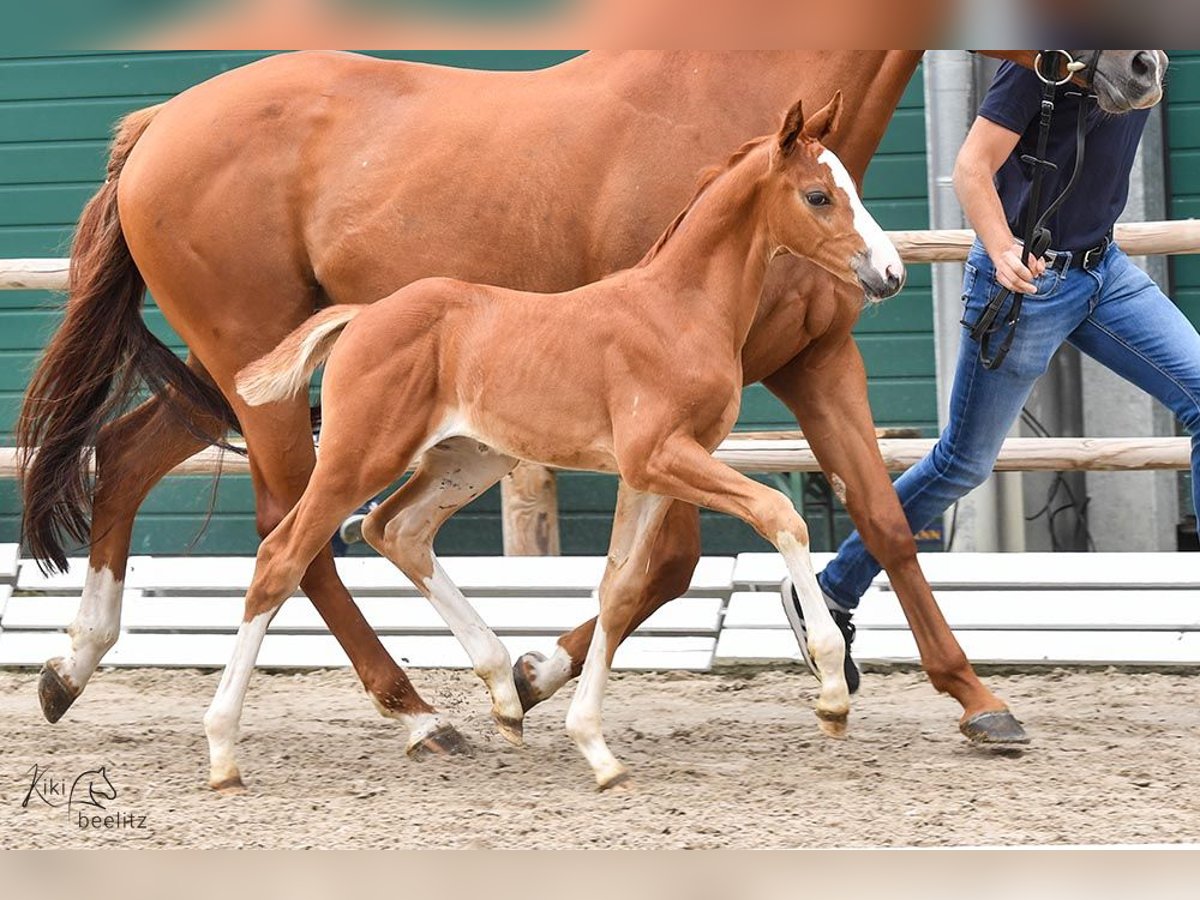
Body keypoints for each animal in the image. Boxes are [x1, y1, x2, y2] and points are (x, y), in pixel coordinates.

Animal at [218, 95, 902, 792]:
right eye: (818, 196)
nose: (890, 273)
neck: (679, 309)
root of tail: (362, 315)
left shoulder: (651, 474)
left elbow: (619, 590)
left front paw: (595, 748)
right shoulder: (658, 455)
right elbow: (779, 514)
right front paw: (831, 692)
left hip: (469, 459)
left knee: (396, 530)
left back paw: (502, 693)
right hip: (359, 455)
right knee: (282, 557)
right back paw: (223, 753)